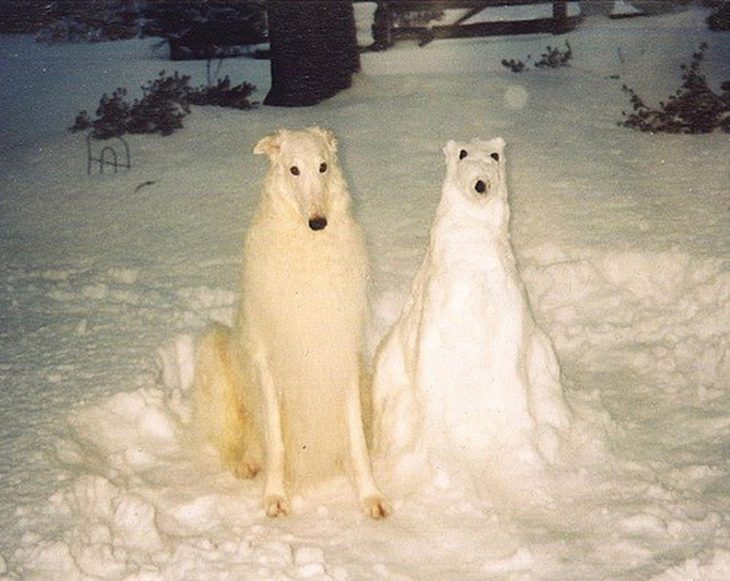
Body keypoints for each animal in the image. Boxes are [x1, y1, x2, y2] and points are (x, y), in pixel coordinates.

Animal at [191, 127, 390, 516]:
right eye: (293, 169)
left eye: (323, 166)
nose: (318, 222)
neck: (308, 255)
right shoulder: (268, 364)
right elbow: (277, 443)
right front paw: (275, 497)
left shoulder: (340, 354)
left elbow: (356, 441)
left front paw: (370, 497)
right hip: (213, 350)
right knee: (238, 442)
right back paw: (247, 462)